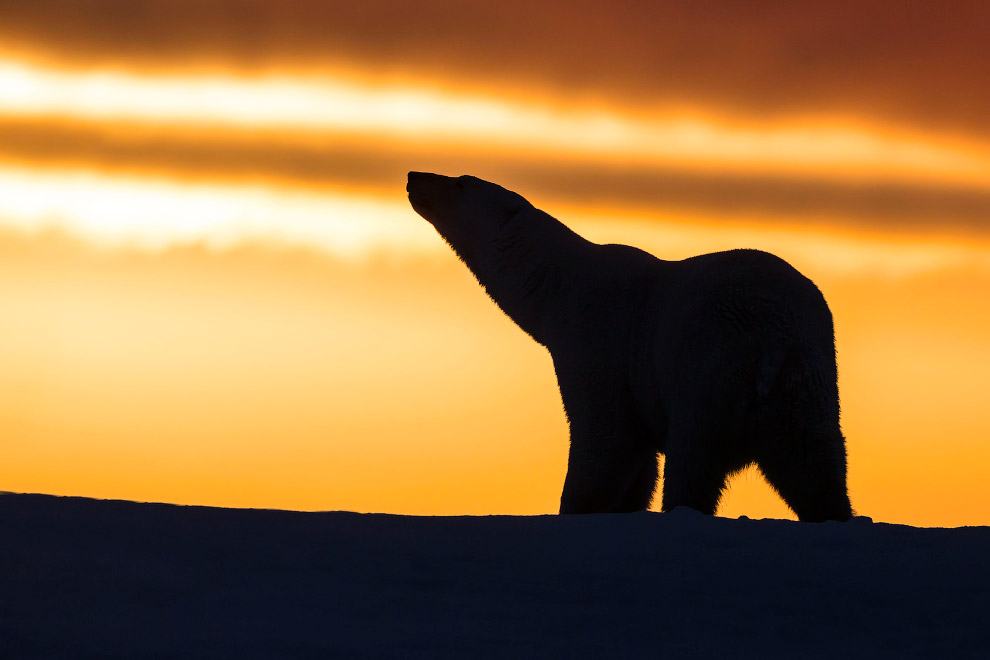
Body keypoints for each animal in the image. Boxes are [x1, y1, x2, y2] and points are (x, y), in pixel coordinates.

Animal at [406, 171, 856, 520]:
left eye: (461, 182)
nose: (414, 176)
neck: (560, 286)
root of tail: (771, 328)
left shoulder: (601, 345)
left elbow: (603, 439)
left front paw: (576, 508)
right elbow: (637, 464)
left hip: (708, 367)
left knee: (694, 457)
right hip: (806, 380)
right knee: (814, 462)